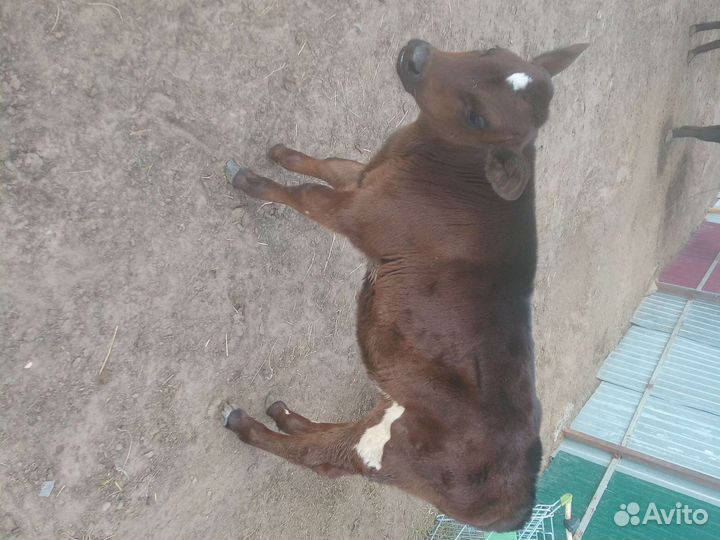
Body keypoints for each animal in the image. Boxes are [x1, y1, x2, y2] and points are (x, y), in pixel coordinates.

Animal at [222, 39, 587, 532]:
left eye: (477, 118)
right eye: (491, 49)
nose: (417, 55)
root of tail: (520, 501)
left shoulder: (356, 213)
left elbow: (305, 194)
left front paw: (249, 180)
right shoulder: (363, 178)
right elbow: (327, 164)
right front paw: (281, 153)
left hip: (395, 451)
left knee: (320, 457)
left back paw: (246, 424)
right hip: (393, 404)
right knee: (337, 440)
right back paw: (286, 415)